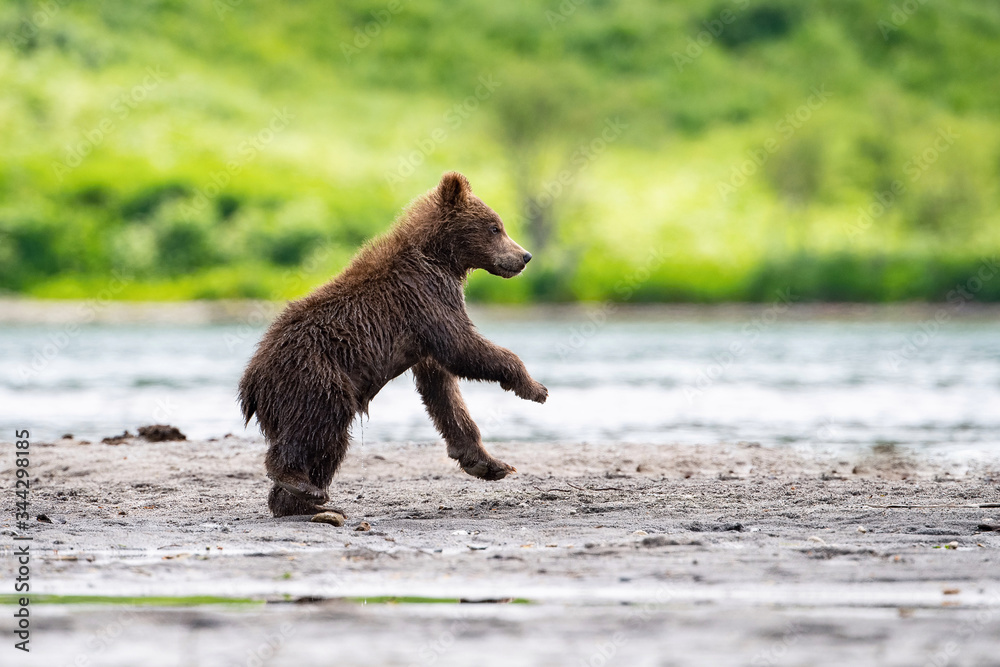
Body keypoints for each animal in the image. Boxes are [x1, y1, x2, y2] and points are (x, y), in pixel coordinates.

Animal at [239, 171, 548, 517]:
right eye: (495, 227)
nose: (524, 256)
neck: (441, 257)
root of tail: (251, 381)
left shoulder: (424, 327)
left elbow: (443, 389)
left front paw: (489, 463)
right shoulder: (425, 295)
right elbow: (462, 347)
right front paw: (534, 388)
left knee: (328, 443)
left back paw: (305, 501)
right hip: (312, 372)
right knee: (322, 420)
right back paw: (297, 481)